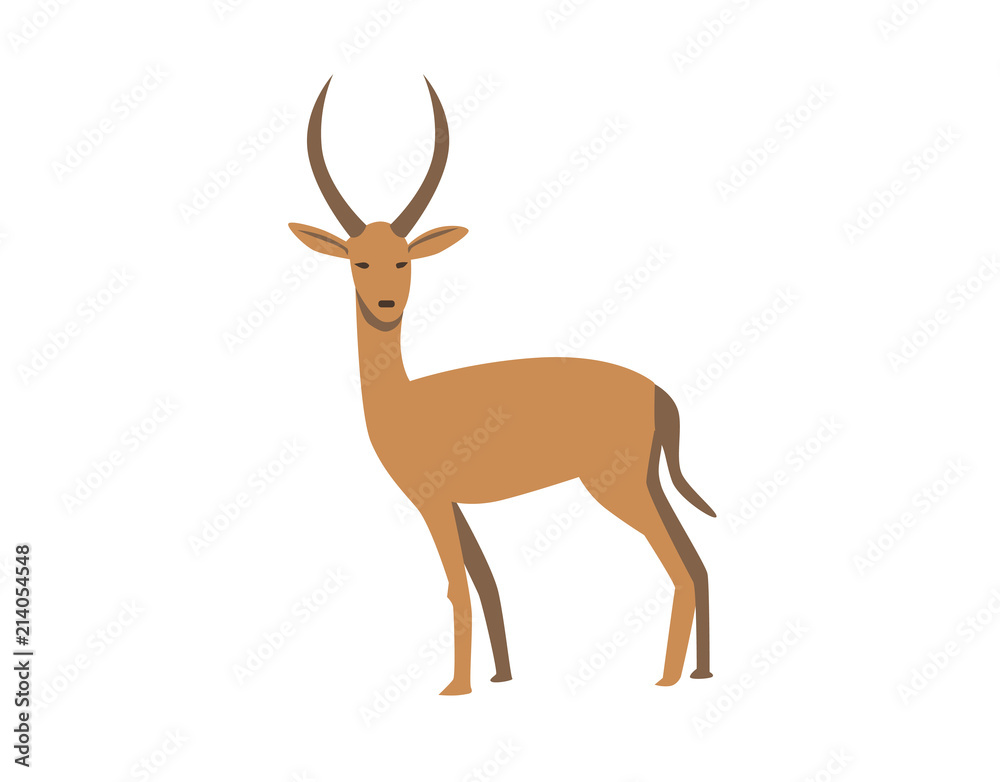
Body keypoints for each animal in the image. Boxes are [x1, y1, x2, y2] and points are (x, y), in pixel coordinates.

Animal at [289, 77, 716, 695]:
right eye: (359, 261)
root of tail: (660, 392)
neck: (405, 403)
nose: (386, 305)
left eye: (404, 260)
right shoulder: (456, 504)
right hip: (647, 482)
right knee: (697, 560)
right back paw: (700, 671)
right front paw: (501, 678)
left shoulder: (433, 502)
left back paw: (664, 680)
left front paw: (456, 688)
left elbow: (456, 585)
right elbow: (485, 581)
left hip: (618, 486)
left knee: (678, 565)